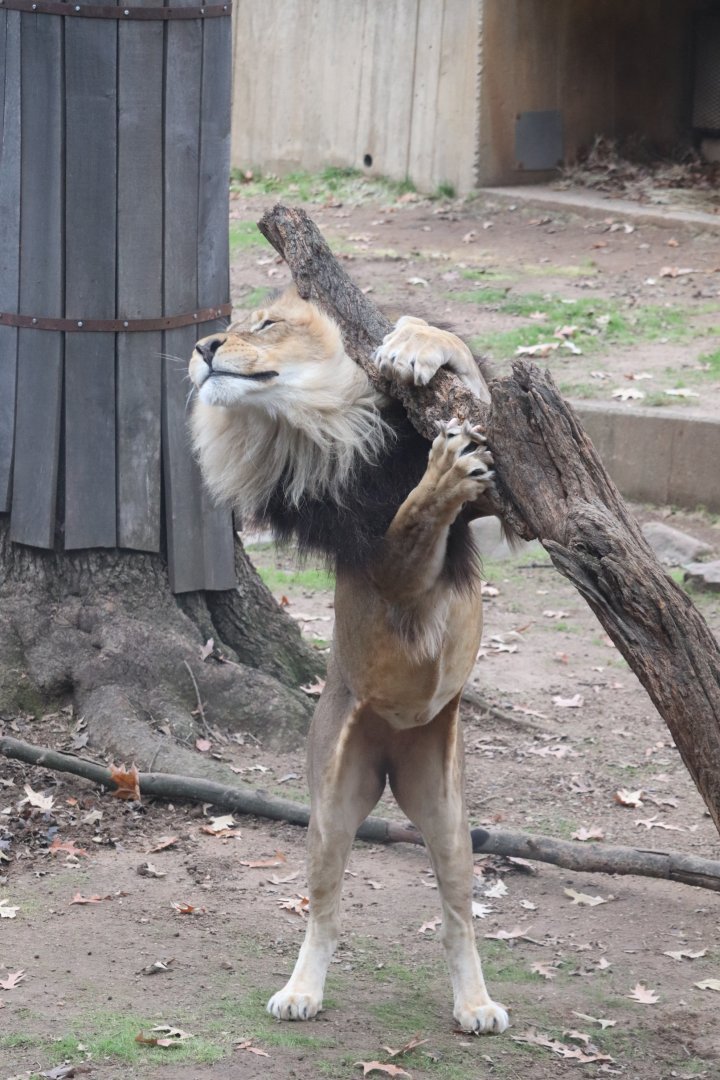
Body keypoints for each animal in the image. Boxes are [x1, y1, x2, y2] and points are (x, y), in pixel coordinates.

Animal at [189, 285, 509, 1035]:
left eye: (264, 324)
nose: (204, 347)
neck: (324, 420)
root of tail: (394, 747)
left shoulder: (497, 501)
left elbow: (472, 390)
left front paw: (417, 343)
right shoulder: (376, 559)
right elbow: (412, 519)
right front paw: (440, 476)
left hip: (447, 813)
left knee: (458, 918)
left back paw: (475, 1004)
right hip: (332, 805)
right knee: (325, 912)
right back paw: (300, 991)